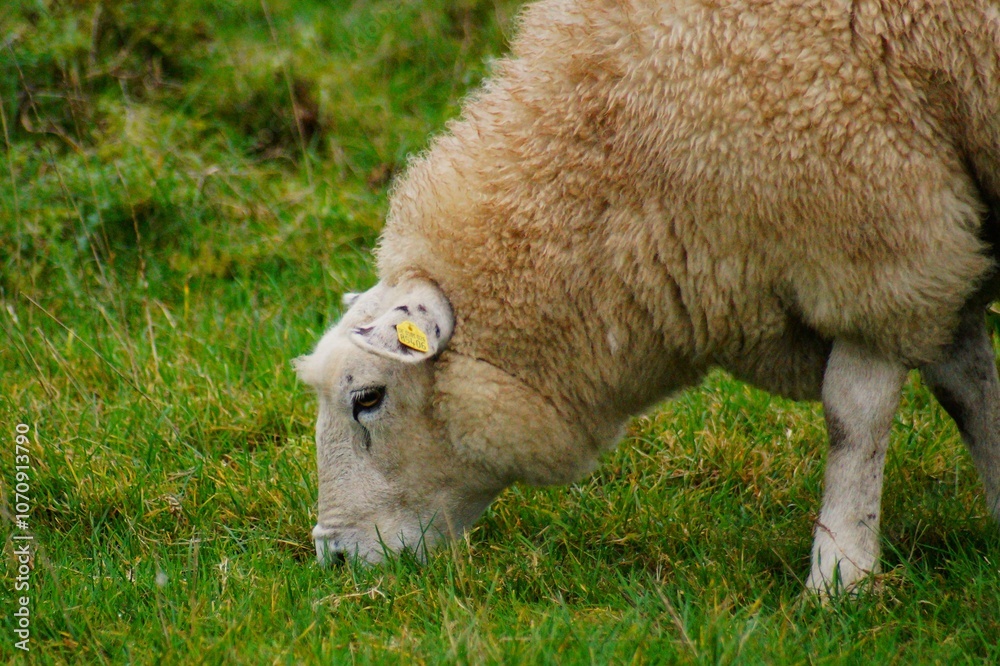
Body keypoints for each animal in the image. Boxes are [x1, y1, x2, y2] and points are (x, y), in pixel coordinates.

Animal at [295, 0, 1000, 593]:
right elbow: (969, 391)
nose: (333, 557)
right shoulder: (941, 246)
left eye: (368, 398)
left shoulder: (883, 239)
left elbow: (855, 418)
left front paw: (839, 577)